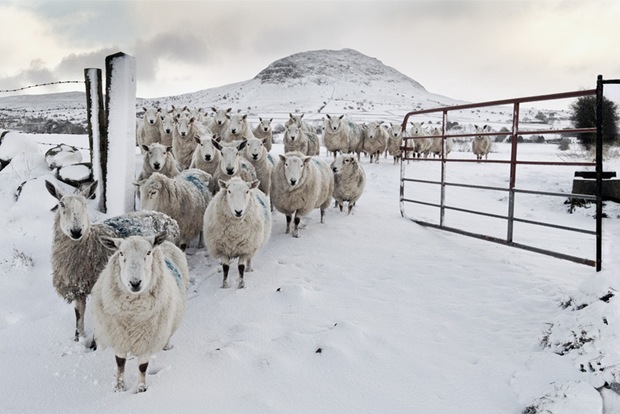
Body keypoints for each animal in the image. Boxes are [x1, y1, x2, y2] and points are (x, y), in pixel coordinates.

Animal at [44, 180, 180, 344]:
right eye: (62, 204)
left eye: (85, 204)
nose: (76, 231)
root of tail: (168, 218)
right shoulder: (77, 286)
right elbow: (78, 315)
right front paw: (79, 338)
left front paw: (94, 344)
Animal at [91, 231, 189, 392]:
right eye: (121, 253)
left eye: (148, 252)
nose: (135, 283)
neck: (133, 316)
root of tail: (166, 244)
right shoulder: (119, 337)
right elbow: (120, 363)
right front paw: (119, 387)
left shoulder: (148, 340)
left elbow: (143, 367)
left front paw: (141, 389)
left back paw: (166, 345)